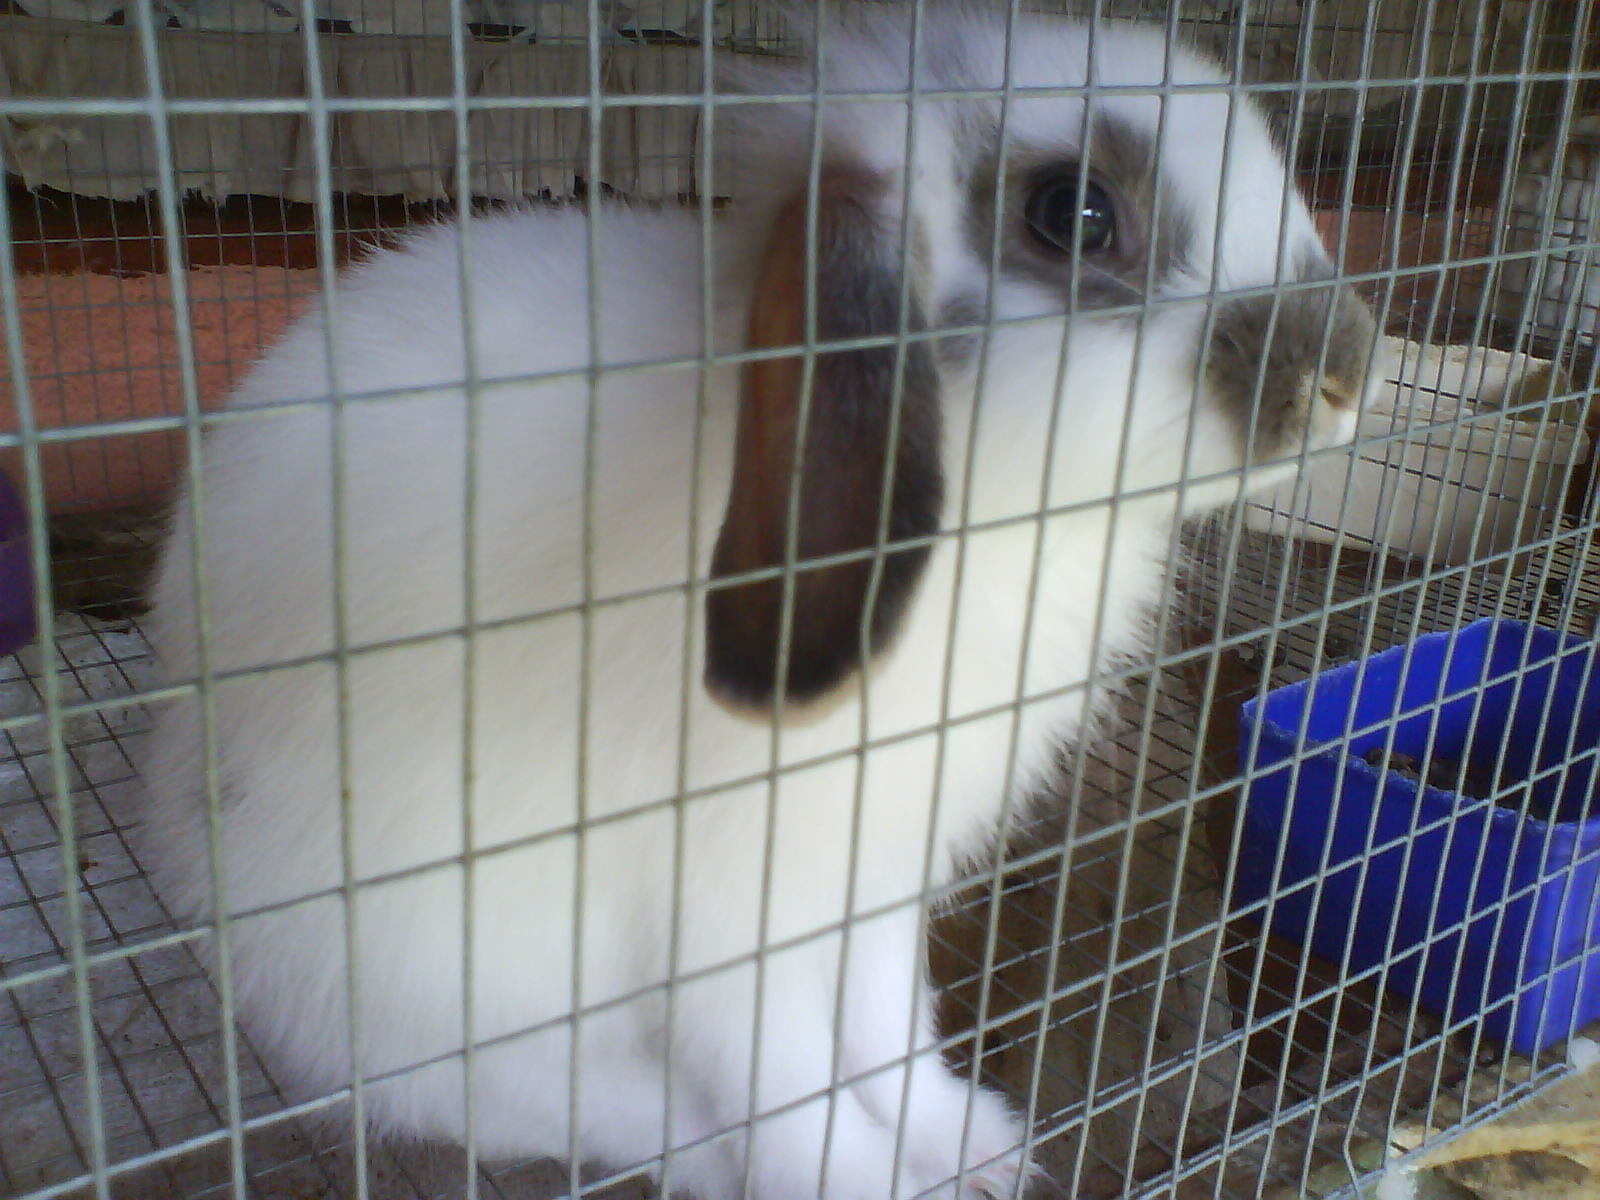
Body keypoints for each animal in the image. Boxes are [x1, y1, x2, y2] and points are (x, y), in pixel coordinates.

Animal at [133, 1, 1380, 1197]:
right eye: (1071, 213)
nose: (1344, 373)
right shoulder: (728, 905)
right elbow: (777, 1073)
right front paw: (857, 1178)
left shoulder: (877, 878)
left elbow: (885, 1028)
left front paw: (964, 1145)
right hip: (447, 968)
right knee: (549, 1103)